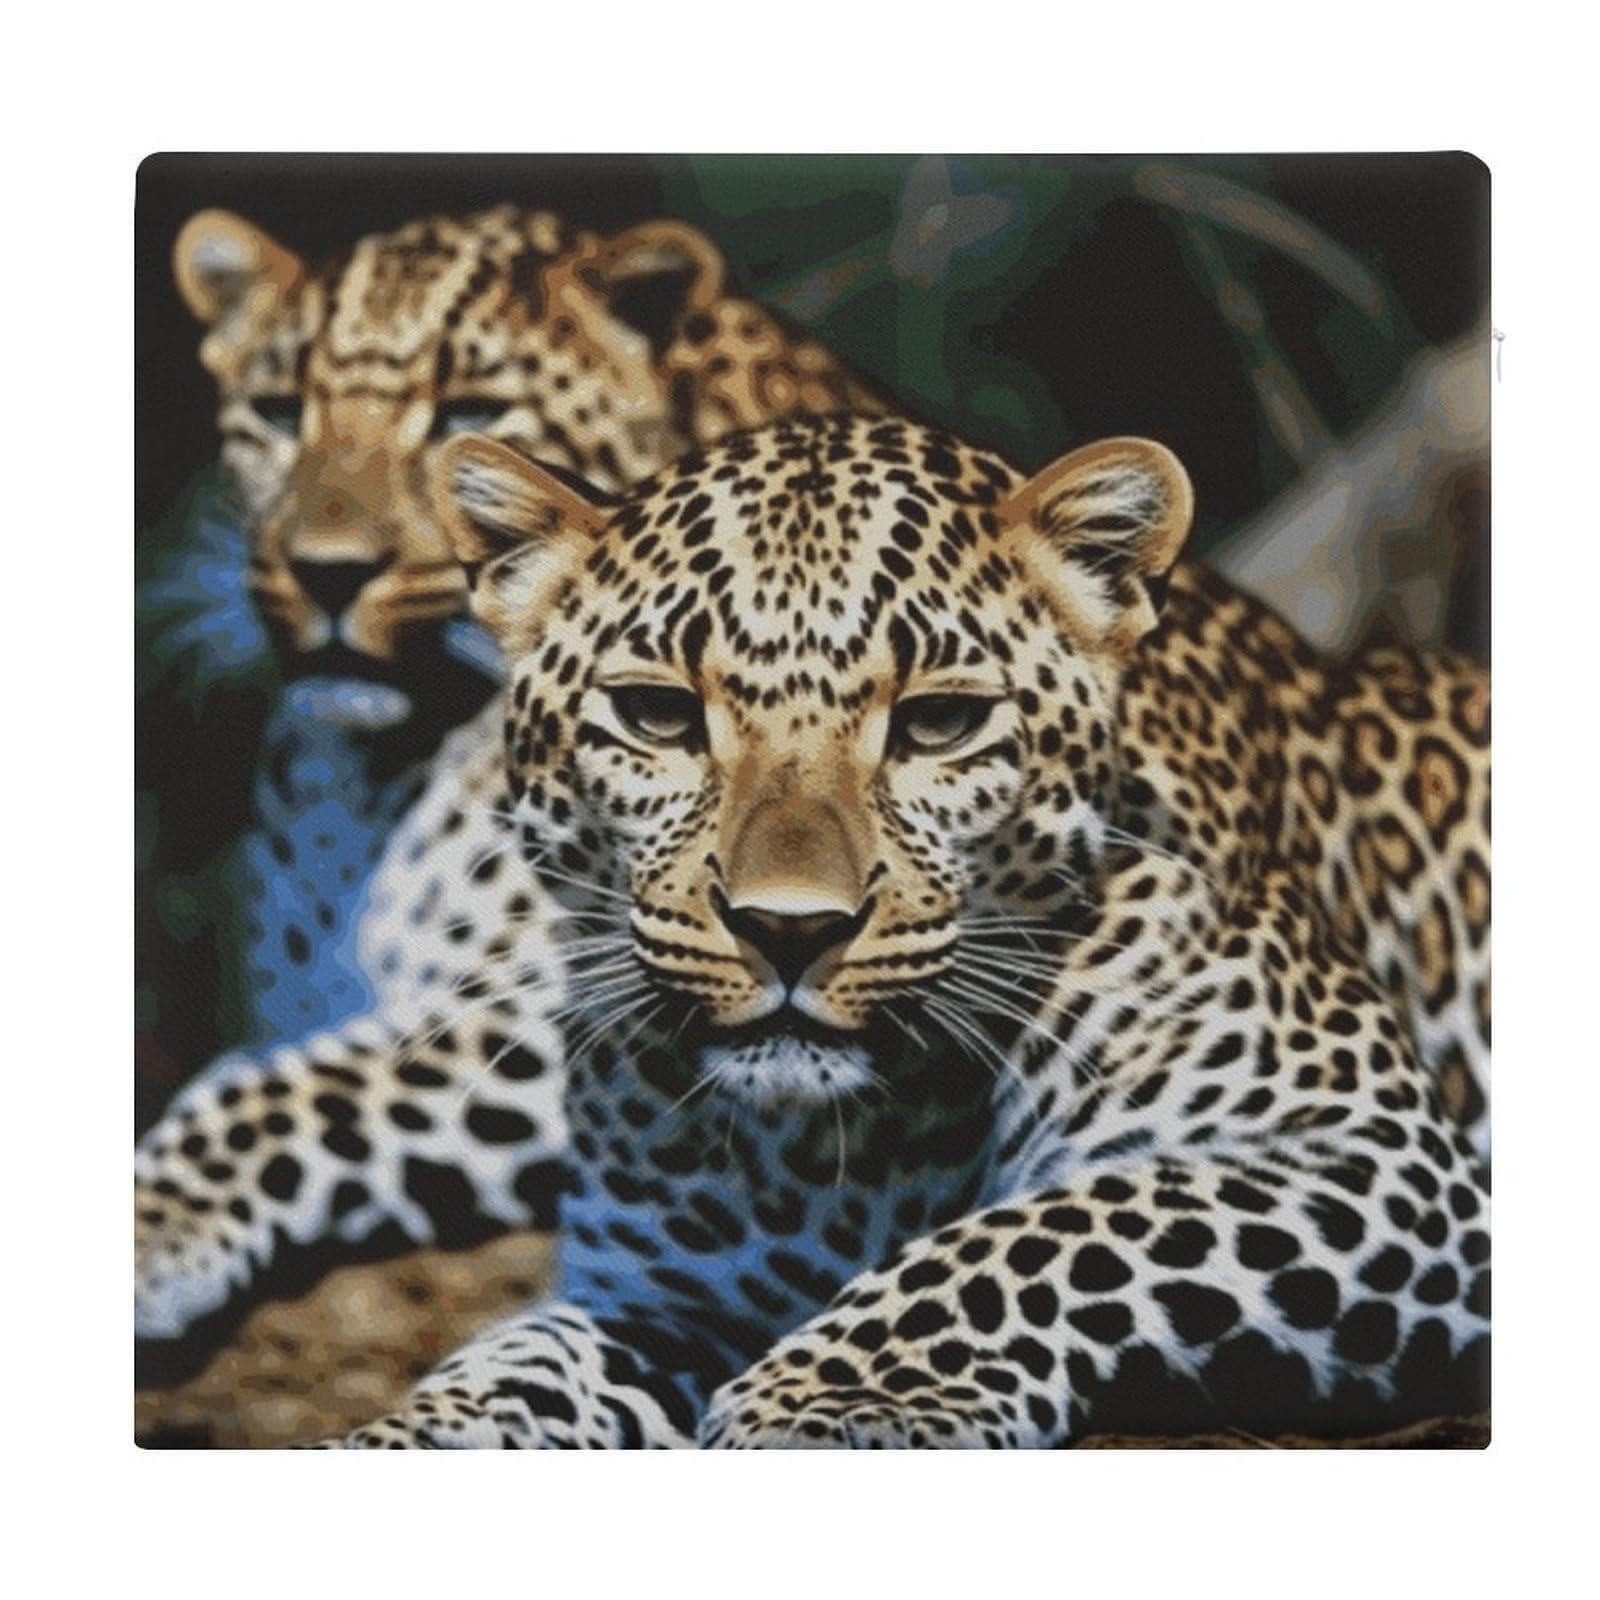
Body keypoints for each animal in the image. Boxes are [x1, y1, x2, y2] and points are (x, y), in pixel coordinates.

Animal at [137, 412, 1489, 1445]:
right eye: (657, 715)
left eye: (940, 724)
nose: (788, 932)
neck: (847, 1148)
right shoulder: (663, 1290)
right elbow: (518, 1357)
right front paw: (408, 1433)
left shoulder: (1382, 1158)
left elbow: (1057, 1226)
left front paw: (837, 1395)